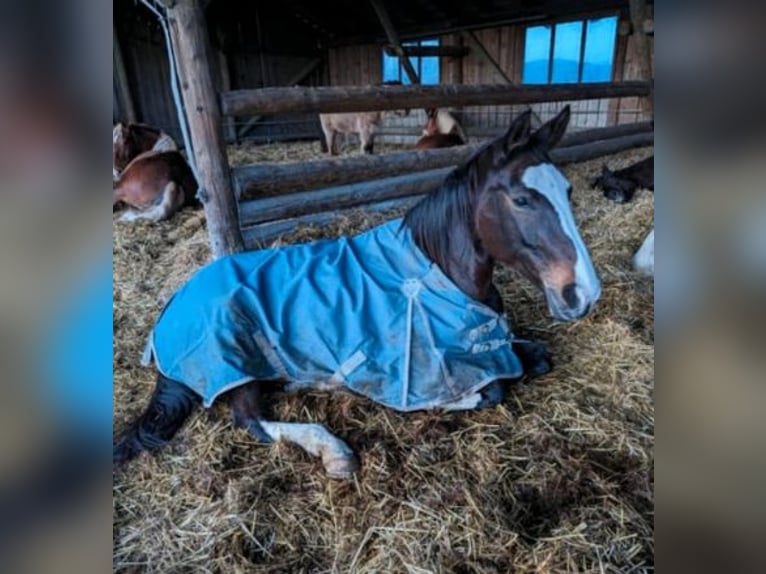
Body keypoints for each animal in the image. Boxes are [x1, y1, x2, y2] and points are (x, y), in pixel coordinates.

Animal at [114, 106, 601, 479]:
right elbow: (492, 389)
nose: (583, 293)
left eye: (568, 190)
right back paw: (333, 449)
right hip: (234, 364)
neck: (436, 276)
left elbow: (534, 355)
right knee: (250, 420)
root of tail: (170, 311)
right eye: (522, 200)